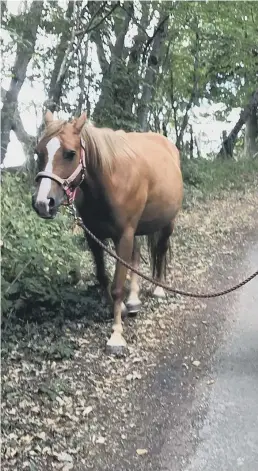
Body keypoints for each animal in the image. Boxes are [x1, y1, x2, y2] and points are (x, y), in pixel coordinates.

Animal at [31, 110, 183, 354]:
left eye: (70, 154)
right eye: (39, 152)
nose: (43, 203)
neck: (110, 179)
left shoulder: (124, 236)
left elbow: (117, 286)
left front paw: (116, 335)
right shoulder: (94, 237)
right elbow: (103, 278)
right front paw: (119, 309)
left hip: (167, 223)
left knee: (160, 250)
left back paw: (158, 289)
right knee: (137, 257)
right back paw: (134, 300)